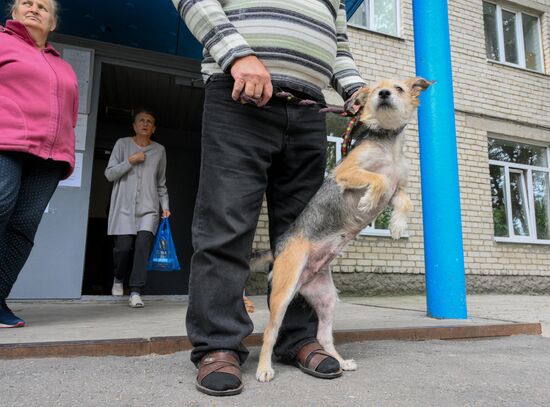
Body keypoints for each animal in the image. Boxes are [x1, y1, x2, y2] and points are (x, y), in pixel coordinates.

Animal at [256, 76, 434, 382]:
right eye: (375, 90)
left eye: (398, 88)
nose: (383, 94)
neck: (387, 144)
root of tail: (278, 248)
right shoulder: (347, 173)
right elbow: (378, 180)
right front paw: (368, 201)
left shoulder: (399, 187)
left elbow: (406, 201)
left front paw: (397, 227)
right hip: (283, 291)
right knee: (270, 332)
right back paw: (264, 369)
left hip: (326, 298)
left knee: (324, 335)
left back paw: (338, 361)